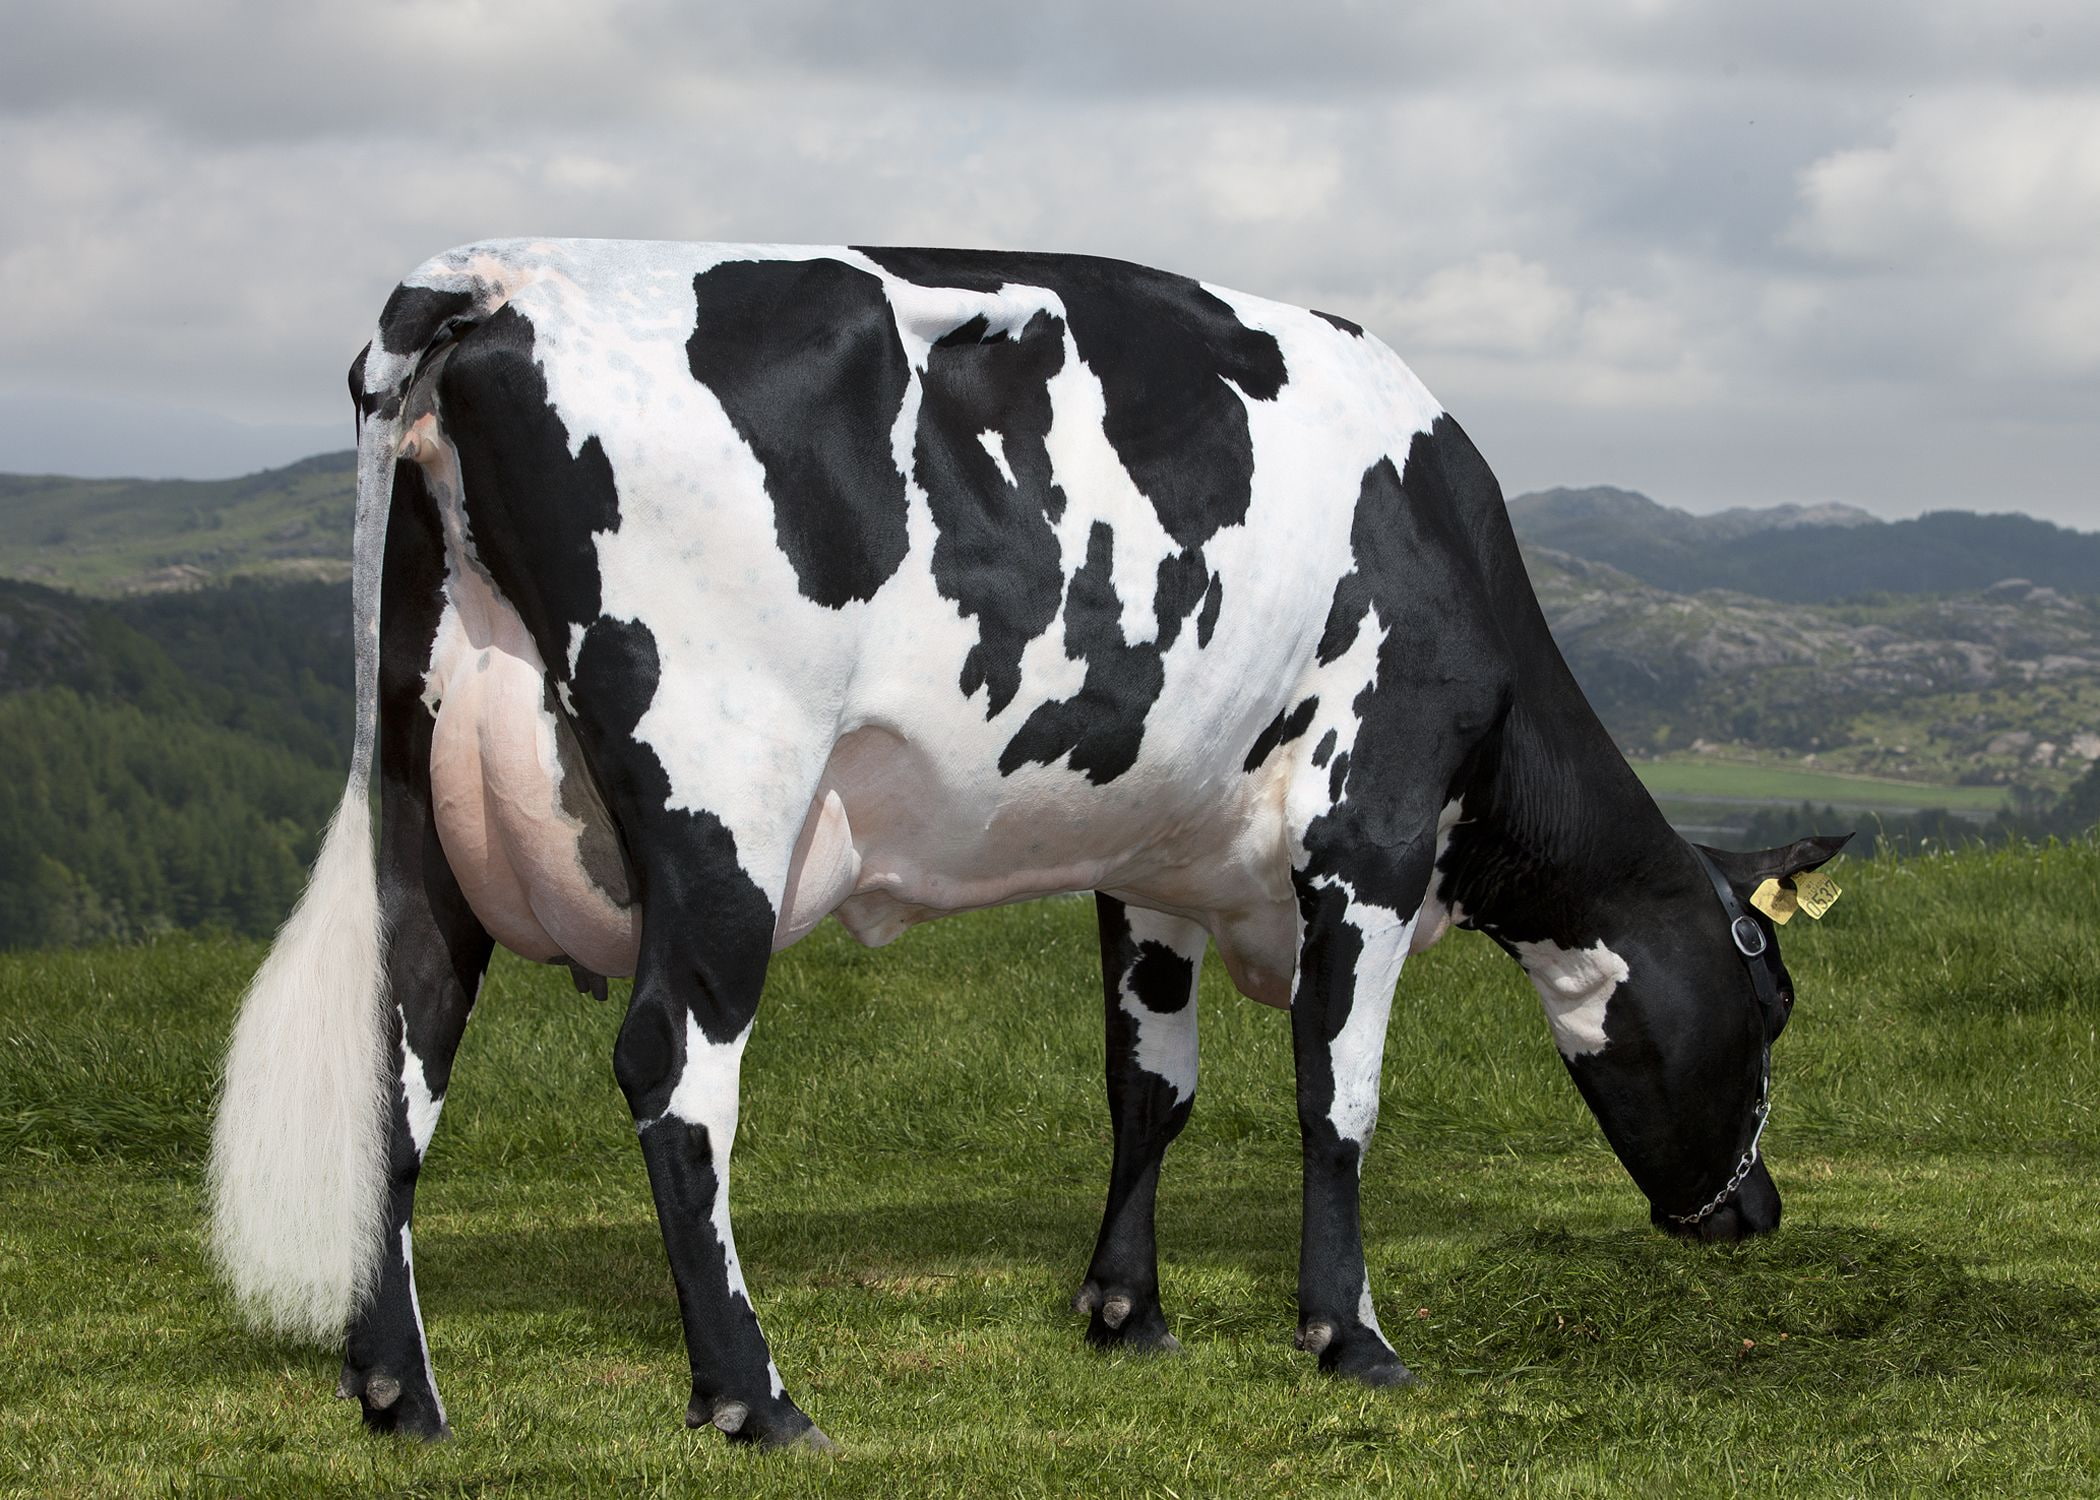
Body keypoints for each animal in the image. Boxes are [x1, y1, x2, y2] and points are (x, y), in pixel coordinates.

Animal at [209, 240, 1844, 1451]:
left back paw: (399, 1393)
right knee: (674, 1071)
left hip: (417, 803)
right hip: (722, 793)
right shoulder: (1367, 830)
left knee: (396, 1051)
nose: (1754, 1211)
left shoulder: (1156, 859)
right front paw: (1351, 1337)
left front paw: (1128, 1315)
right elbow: (1340, 1097)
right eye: (1771, 1001)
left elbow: (1151, 1090)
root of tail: (492, 281)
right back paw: (755, 1396)